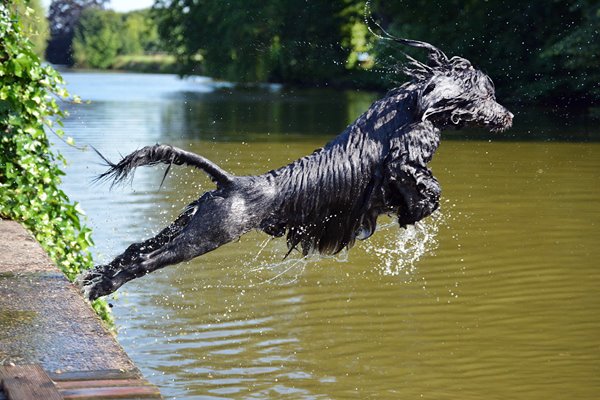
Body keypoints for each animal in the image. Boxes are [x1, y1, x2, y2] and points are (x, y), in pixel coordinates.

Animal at [78, 36, 510, 300]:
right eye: (487, 95)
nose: (508, 116)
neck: (414, 104)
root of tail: (230, 183)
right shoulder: (404, 161)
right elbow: (426, 189)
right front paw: (415, 212)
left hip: (190, 223)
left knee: (136, 248)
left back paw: (95, 275)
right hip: (206, 237)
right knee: (146, 261)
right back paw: (101, 288)